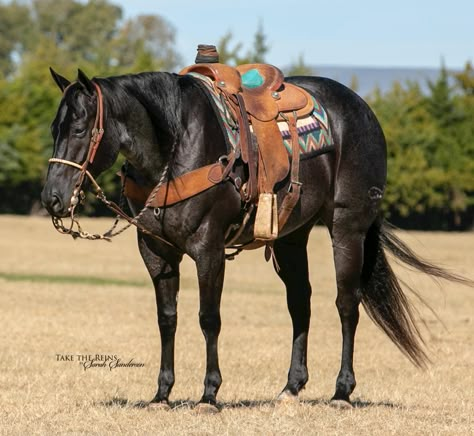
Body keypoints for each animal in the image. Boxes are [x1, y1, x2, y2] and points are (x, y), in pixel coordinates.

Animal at [40, 68, 462, 412]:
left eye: (79, 130)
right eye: (53, 129)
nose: (52, 198)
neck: (177, 145)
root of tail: (363, 110)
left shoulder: (208, 249)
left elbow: (208, 319)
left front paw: (209, 394)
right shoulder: (156, 253)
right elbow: (167, 319)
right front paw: (162, 394)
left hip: (348, 228)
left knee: (347, 304)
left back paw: (342, 391)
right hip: (292, 238)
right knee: (300, 305)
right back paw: (291, 388)